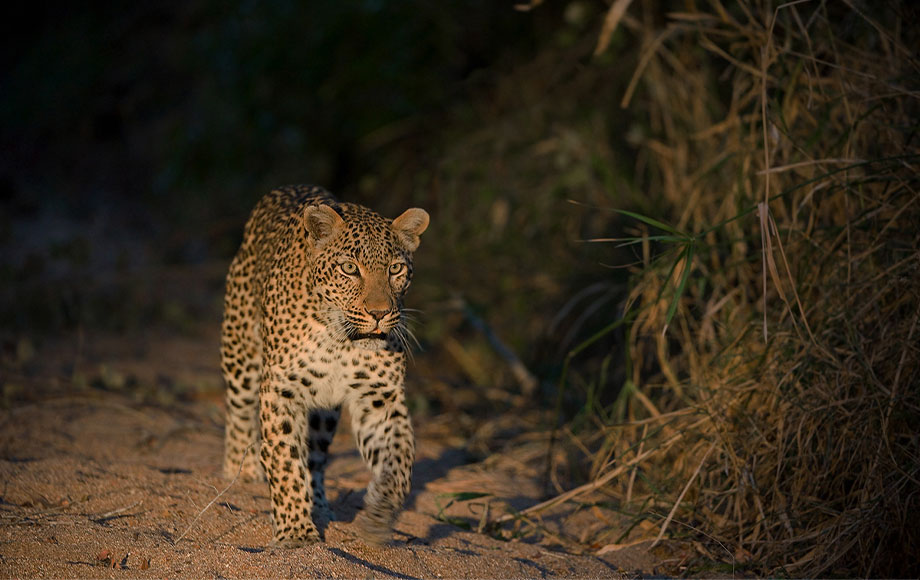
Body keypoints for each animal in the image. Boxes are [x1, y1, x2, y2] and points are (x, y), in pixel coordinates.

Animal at [221, 184, 430, 548]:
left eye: (395, 270)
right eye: (349, 268)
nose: (379, 313)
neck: (340, 338)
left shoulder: (379, 398)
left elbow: (399, 460)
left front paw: (378, 516)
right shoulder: (281, 389)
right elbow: (284, 458)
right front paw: (295, 532)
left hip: (324, 411)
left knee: (316, 458)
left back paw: (319, 505)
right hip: (240, 354)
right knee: (238, 414)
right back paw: (240, 473)